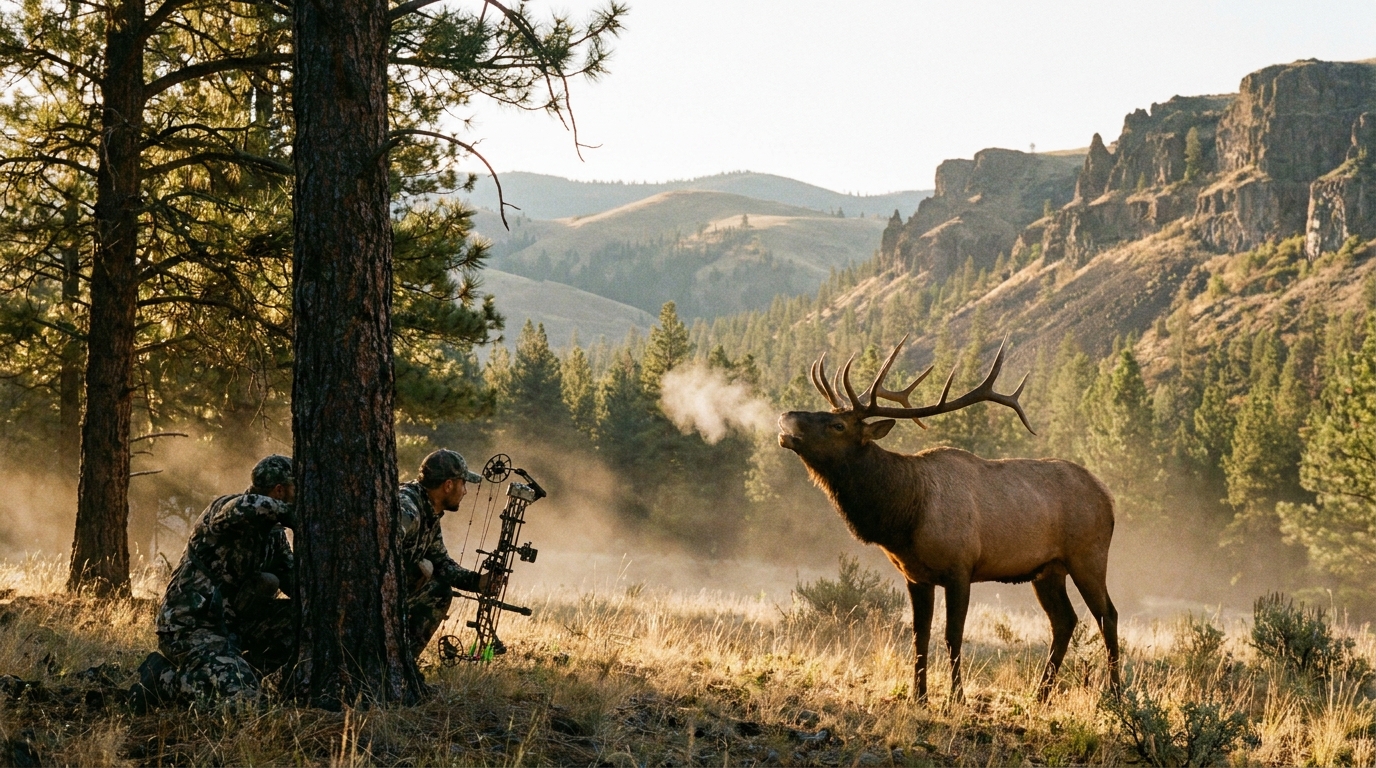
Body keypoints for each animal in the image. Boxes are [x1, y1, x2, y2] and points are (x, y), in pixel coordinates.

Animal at [777, 336, 1120, 704]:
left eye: (837, 425)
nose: (785, 416)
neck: (905, 517)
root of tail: (1108, 497)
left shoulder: (960, 568)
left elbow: (952, 635)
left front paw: (956, 698)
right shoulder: (915, 576)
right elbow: (920, 636)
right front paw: (919, 696)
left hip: (1088, 555)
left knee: (1107, 615)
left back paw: (1115, 694)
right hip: (1047, 570)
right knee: (1064, 620)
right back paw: (1040, 695)